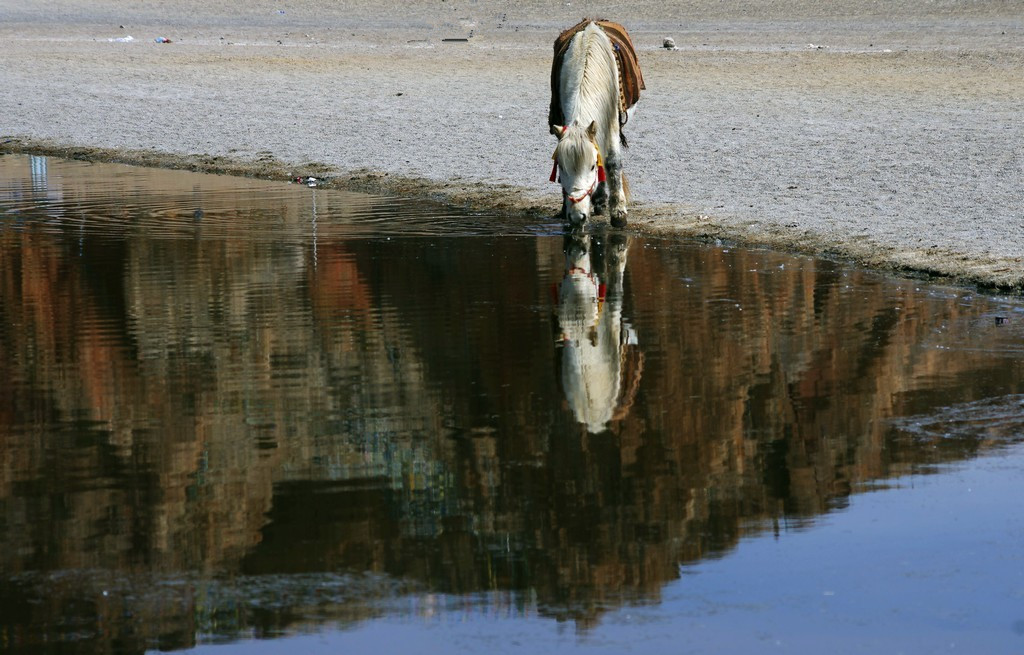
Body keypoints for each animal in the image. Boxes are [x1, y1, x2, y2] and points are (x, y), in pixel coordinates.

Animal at [552, 21, 630, 227]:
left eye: (592, 167)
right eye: (561, 167)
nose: (577, 216)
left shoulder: (611, 123)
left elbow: (612, 162)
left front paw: (619, 214)